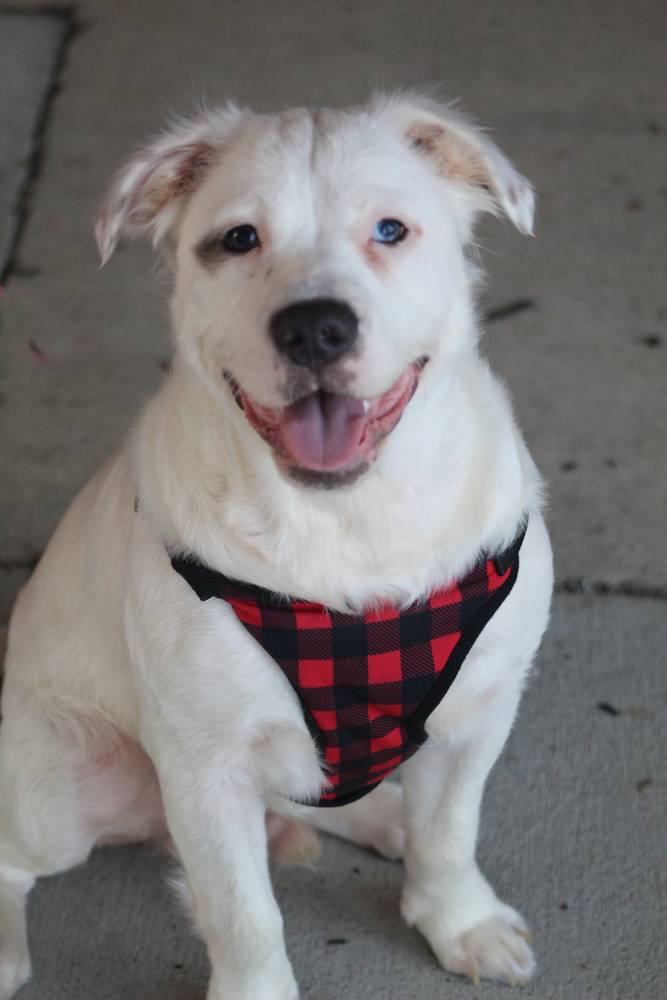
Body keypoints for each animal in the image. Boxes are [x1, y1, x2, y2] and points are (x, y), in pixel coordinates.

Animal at [0, 94, 552, 1000]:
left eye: (390, 230)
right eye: (237, 239)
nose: (314, 329)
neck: (349, 521)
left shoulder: (479, 708)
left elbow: (450, 831)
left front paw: (457, 919)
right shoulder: (205, 767)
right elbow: (241, 914)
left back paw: (381, 815)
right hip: (65, 780)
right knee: (16, 857)